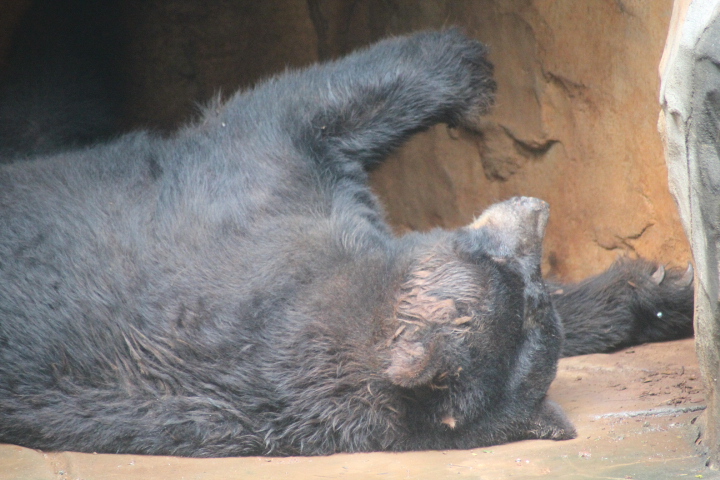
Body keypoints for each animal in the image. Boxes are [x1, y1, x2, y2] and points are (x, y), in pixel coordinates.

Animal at [0, 29, 693, 457]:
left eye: (532, 284)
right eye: (495, 259)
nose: (534, 211)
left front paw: (661, 293)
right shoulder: (250, 211)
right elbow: (292, 111)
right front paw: (466, 65)